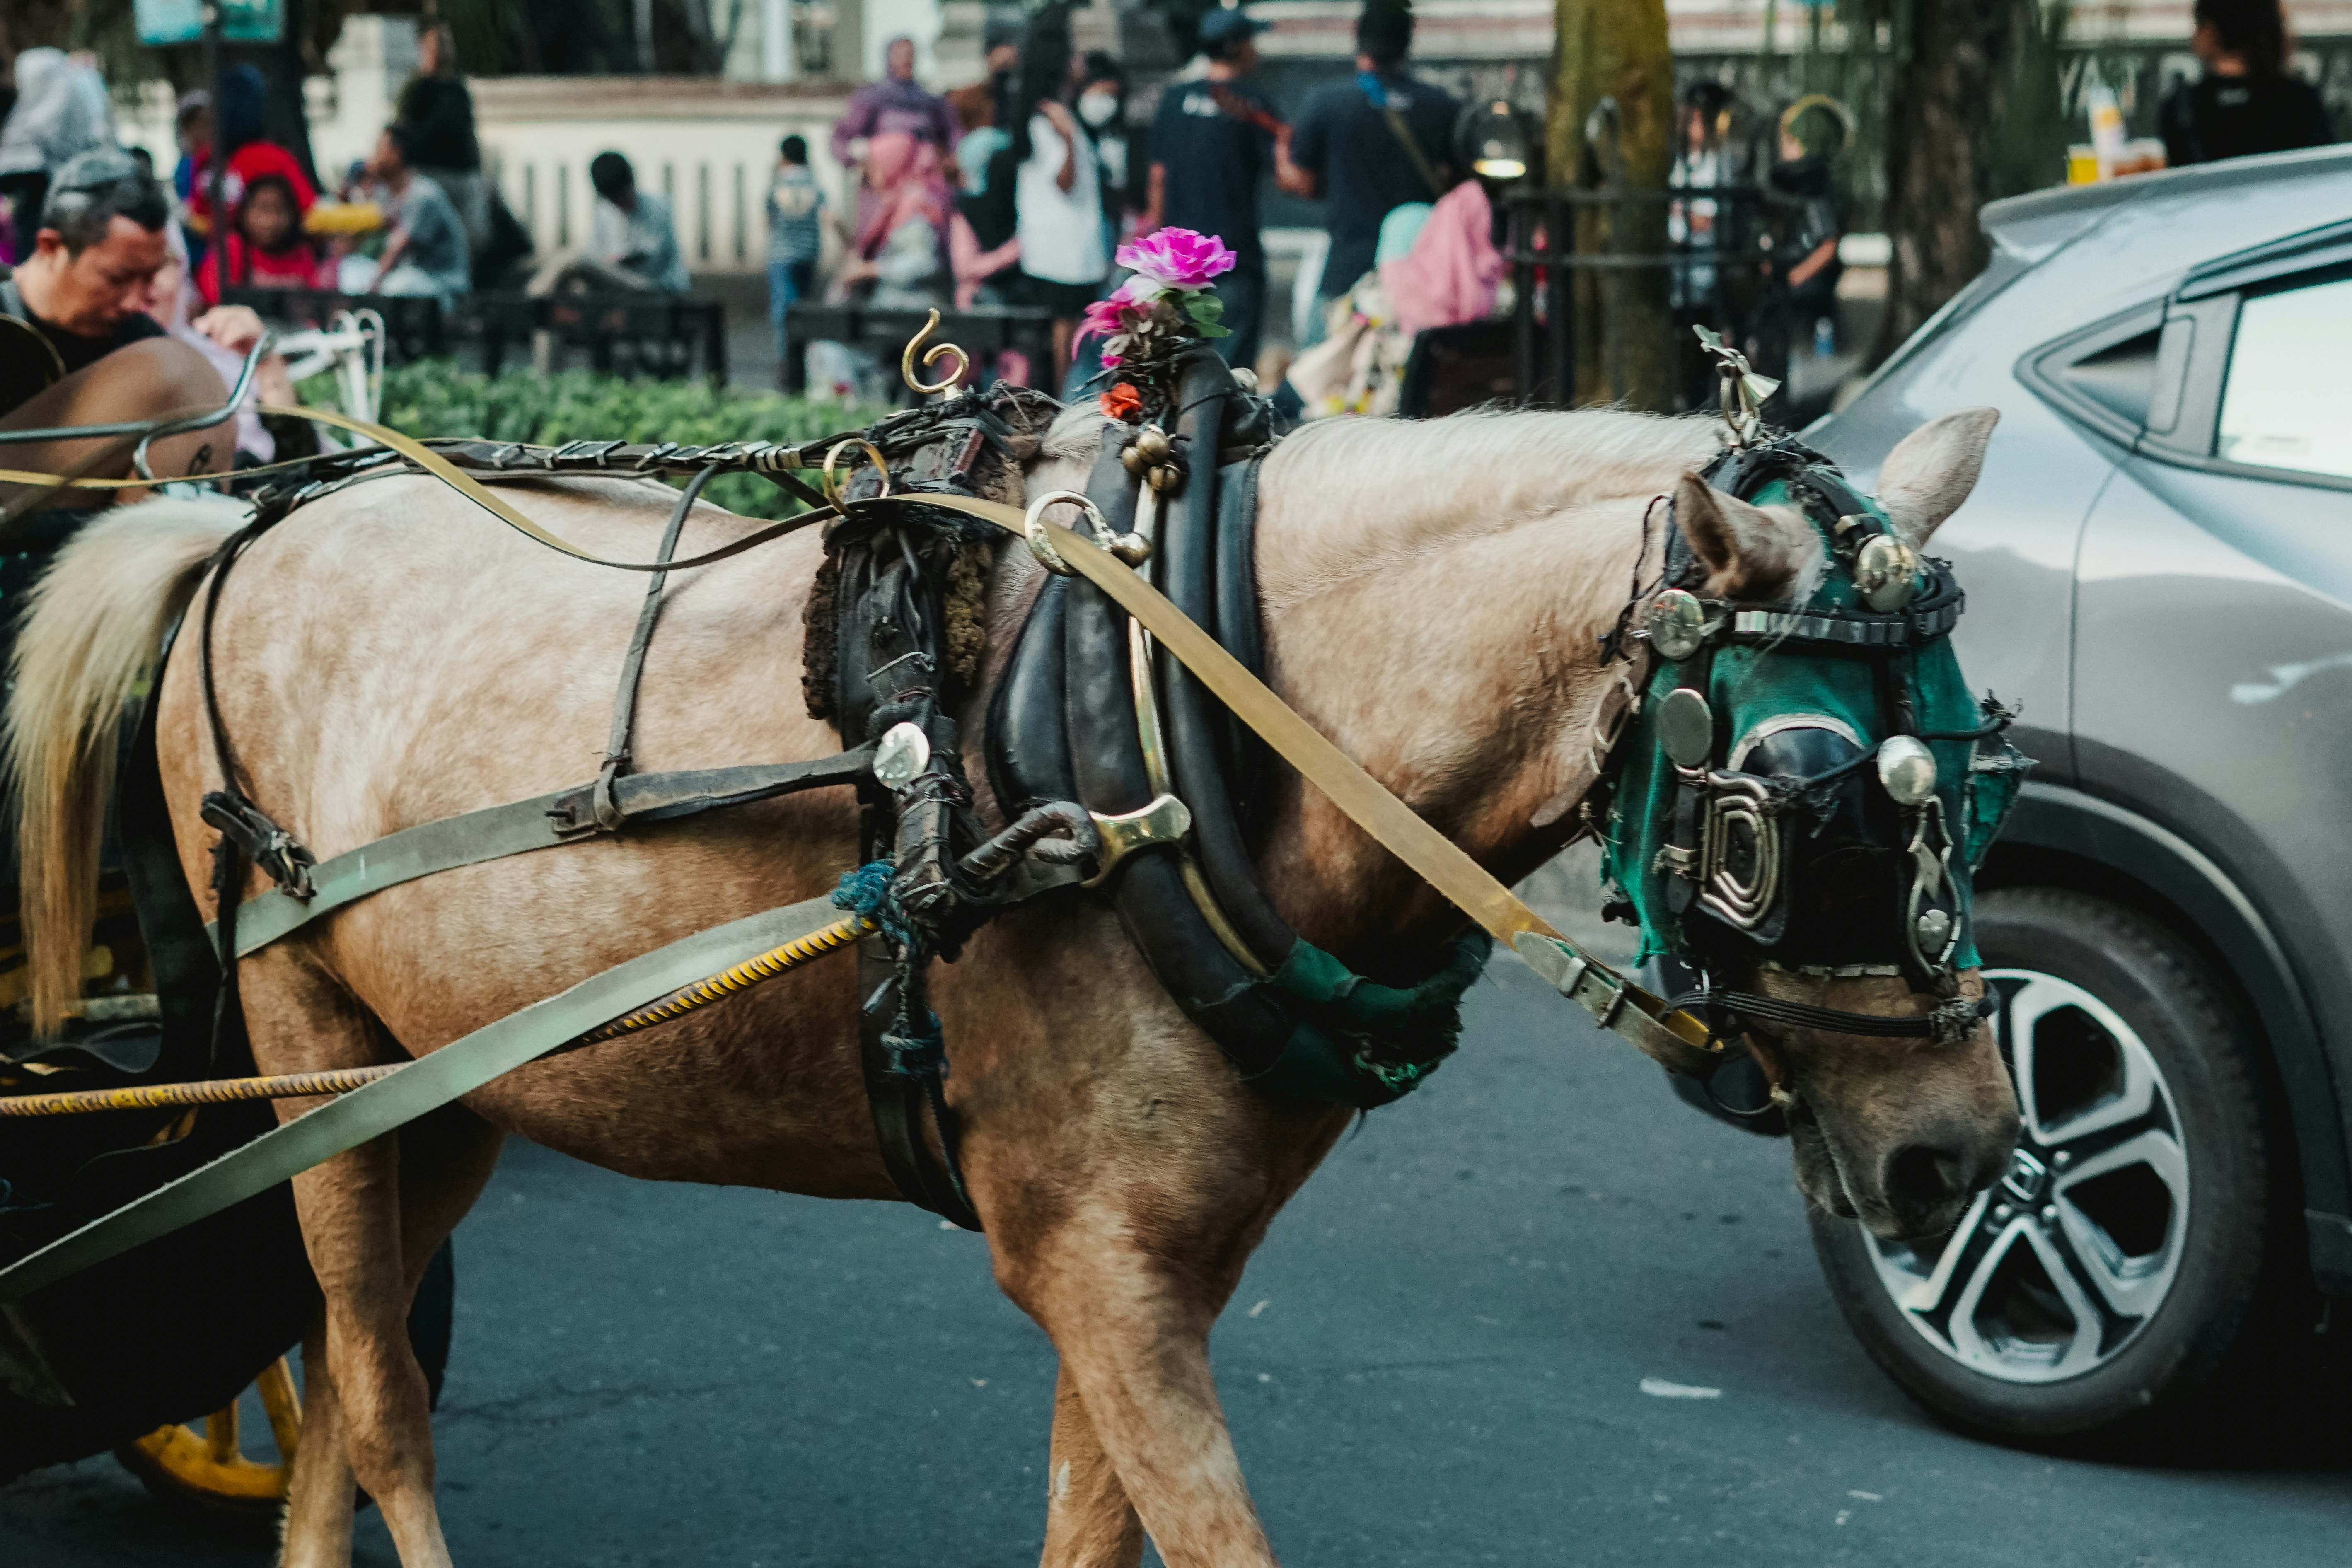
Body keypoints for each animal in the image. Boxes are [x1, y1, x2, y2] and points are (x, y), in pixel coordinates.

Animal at [9, 400, 2017, 1567]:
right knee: (377, 1399)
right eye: (1796, 806)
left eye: (1983, 770)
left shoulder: (1147, 1268)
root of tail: (241, 527)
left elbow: (1094, 1537)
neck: (1165, 742)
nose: (1961, 1154)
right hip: (310, 1065)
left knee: (331, 1389)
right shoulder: (1097, 1272)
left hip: (448, 1089)